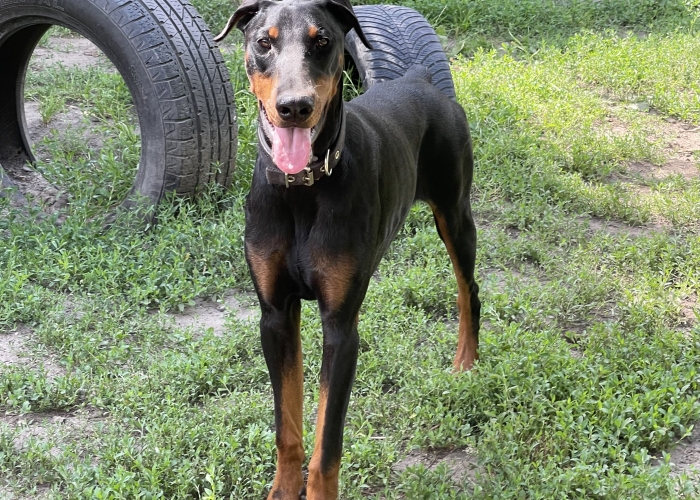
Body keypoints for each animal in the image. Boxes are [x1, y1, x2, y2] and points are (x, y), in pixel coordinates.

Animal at [213, 1, 478, 498]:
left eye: (322, 41)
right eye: (263, 42)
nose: (294, 107)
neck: (302, 191)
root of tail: (419, 79)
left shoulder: (340, 328)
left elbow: (327, 444)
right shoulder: (275, 316)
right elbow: (287, 426)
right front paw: (282, 489)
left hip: (454, 212)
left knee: (468, 290)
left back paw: (466, 363)